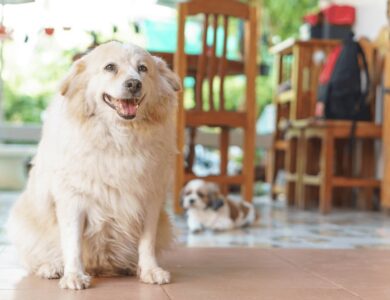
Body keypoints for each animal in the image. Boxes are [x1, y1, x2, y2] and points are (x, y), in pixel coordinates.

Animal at [7, 41, 181, 290]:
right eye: (110, 67)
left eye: (143, 68)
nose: (134, 84)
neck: (119, 138)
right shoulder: (72, 199)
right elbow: (73, 243)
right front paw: (74, 275)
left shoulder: (151, 199)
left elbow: (147, 241)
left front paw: (150, 270)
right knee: (37, 257)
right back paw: (51, 267)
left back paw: (132, 266)